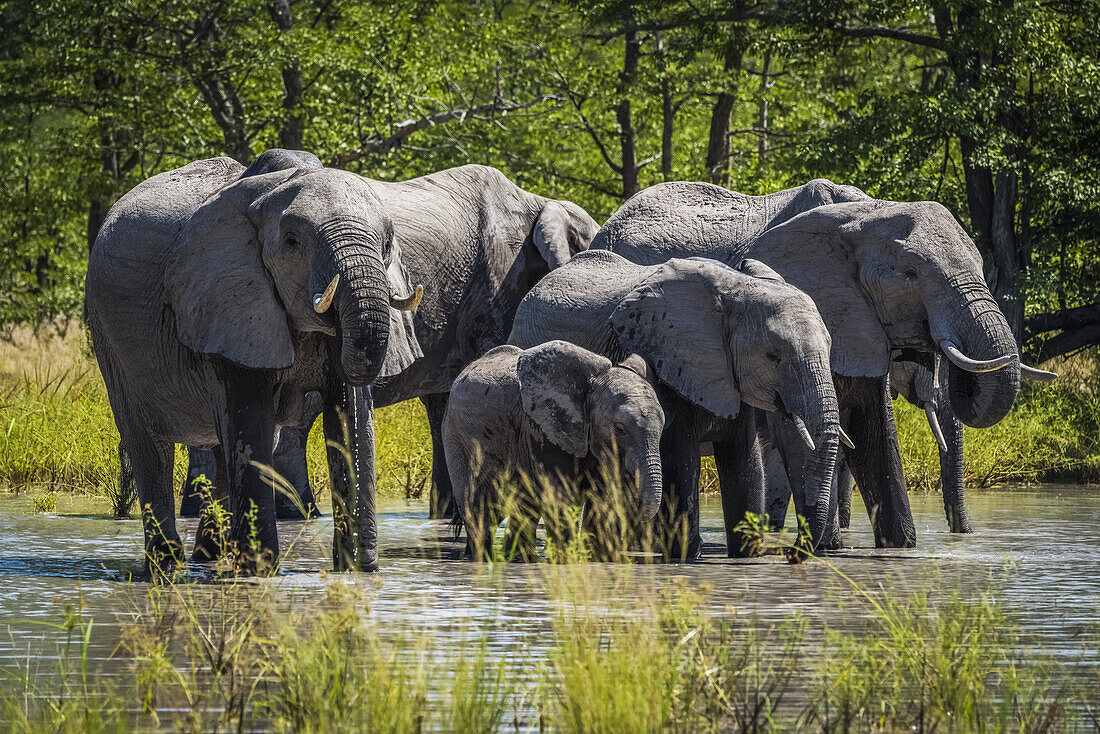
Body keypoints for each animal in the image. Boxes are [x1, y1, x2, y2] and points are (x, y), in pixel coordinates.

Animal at [83, 155, 420, 572]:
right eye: (292, 242)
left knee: (220, 447)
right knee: (149, 446)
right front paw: (260, 572)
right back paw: (167, 567)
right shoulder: (227, 300)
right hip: (108, 336)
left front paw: (358, 570)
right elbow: (253, 421)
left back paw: (209, 557)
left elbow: (350, 417)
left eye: (388, 242)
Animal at [442, 341, 664, 559]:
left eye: (663, 427)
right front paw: (567, 560)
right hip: (457, 437)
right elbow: (561, 498)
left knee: (521, 507)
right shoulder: (542, 428)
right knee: (479, 507)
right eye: (619, 429)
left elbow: (602, 499)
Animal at [508, 249, 840, 559]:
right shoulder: (666, 358)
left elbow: (744, 460)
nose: (791, 554)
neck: (737, 289)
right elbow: (682, 461)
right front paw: (687, 554)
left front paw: (745, 555)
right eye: (773, 356)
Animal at [594, 179, 1047, 545]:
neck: (867, 212)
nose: (962, 536)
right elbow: (803, 431)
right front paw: (827, 547)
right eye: (912, 275)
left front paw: (899, 547)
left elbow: (872, 429)